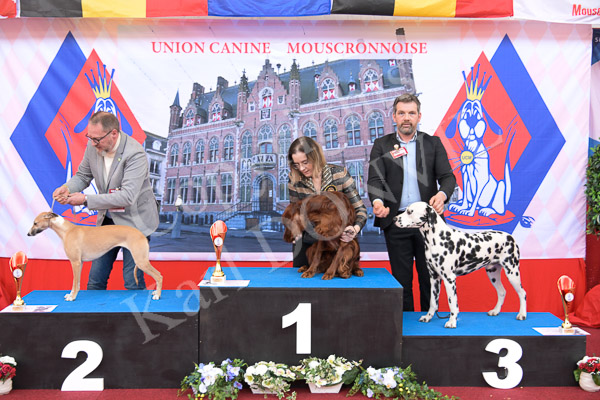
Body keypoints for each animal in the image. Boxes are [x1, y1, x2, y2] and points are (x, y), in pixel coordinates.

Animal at [27, 212, 163, 301]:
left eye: (35, 223)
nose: (28, 234)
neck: (67, 230)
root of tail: (142, 234)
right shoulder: (80, 263)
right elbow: (77, 283)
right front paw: (71, 294)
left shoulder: (75, 262)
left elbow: (74, 282)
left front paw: (72, 297)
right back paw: (155, 292)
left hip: (141, 261)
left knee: (159, 276)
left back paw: (157, 295)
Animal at [394, 202, 526, 328]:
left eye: (410, 211)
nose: (394, 219)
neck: (437, 239)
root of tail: (510, 237)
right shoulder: (434, 278)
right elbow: (433, 302)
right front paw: (428, 317)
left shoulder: (449, 279)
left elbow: (452, 304)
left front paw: (452, 322)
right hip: (492, 273)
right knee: (502, 292)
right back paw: (496, 311)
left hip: (512, 272)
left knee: (522, 293)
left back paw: (522, 314)